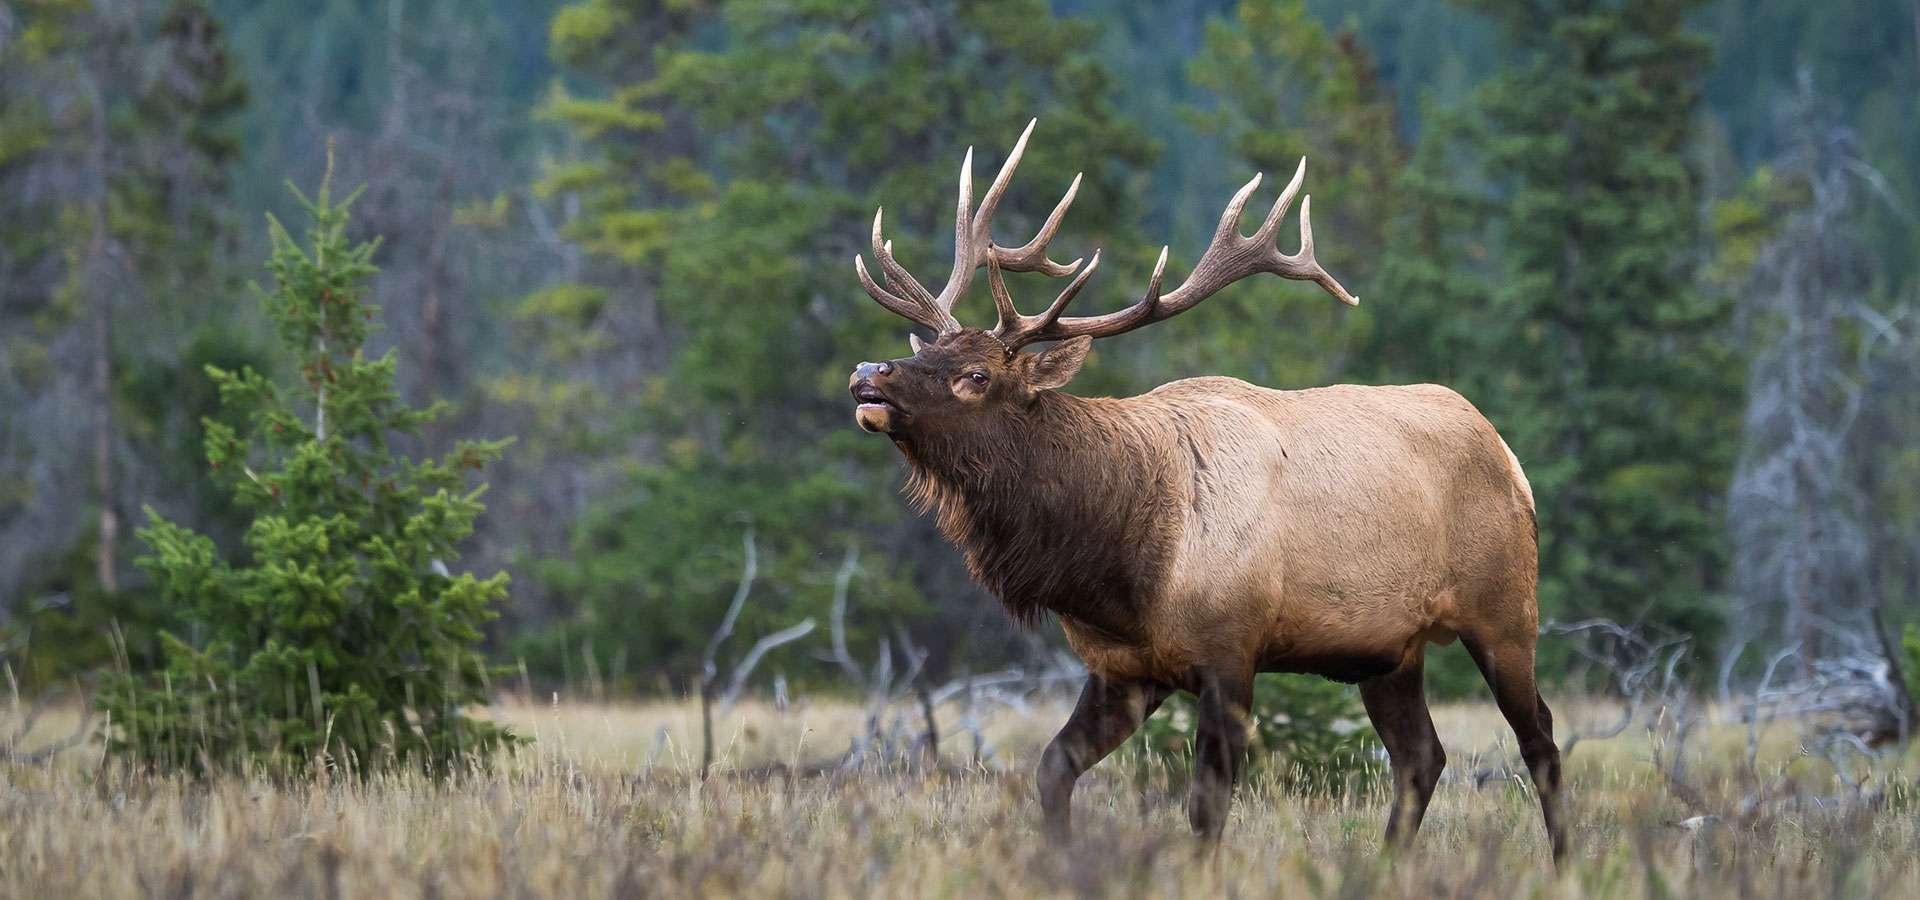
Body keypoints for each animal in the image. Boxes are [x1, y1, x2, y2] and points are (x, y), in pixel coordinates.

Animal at [844, 120, 1564, 860]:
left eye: (977, 375)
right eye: (928, 350)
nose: (870, 371)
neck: (1120, 566)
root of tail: (1509, 456)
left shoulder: (1231, 653)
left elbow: (1205, 807)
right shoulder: (1125, 669)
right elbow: (1052, 770)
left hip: (1505, 610)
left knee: (1539, 737)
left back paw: (1563, 860)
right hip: (1390, 650)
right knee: (1421, 755)